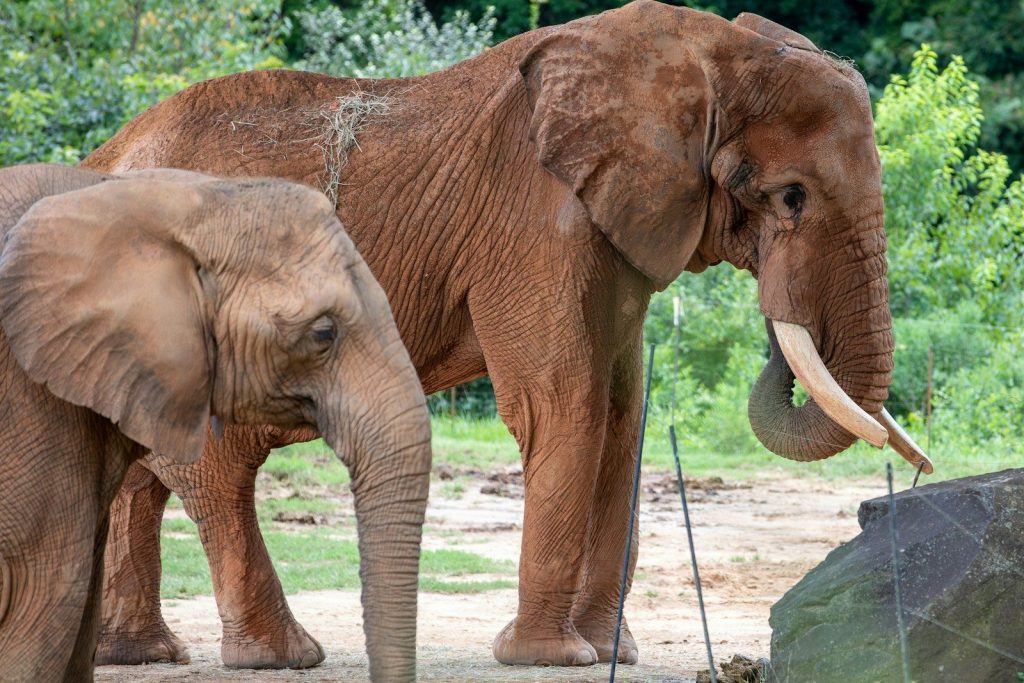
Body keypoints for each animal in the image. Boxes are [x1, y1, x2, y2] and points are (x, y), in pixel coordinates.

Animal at [82, 1, 930, 669]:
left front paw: (609, 651)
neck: (703, 52)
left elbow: (623, 417)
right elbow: (566, 404)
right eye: (790, 196)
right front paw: (551, 657)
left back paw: (140, 653)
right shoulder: (535, 223)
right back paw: (280, 657)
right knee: (213, 462)